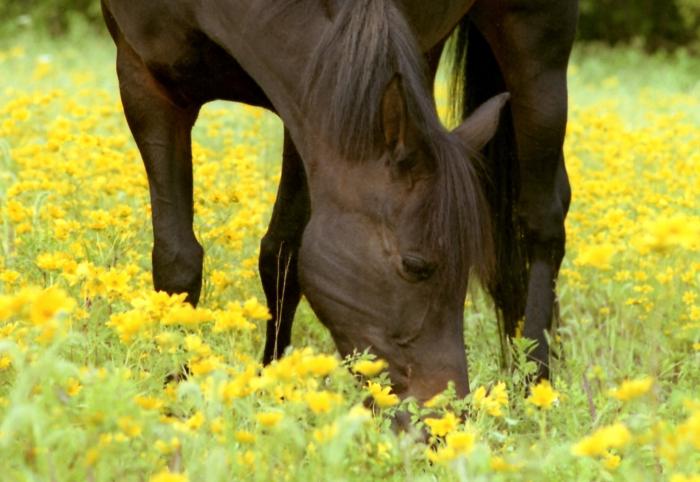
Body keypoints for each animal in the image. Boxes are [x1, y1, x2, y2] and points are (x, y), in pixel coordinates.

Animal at [102, 0, 576, 402]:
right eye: (415, 266)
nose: (445, 410)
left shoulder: (310, 107)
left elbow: (282, 253)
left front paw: (275, 386)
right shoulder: (144, 81)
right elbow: (177, 262)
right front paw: (173, 390)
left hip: (537, 37)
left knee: (543, 217)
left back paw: (535, 383)